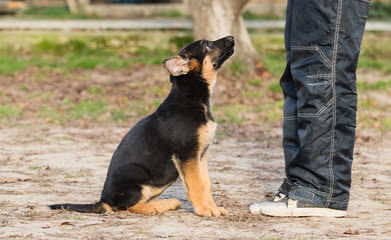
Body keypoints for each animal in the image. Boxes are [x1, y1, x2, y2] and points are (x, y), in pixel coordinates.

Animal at [51, 35, 237, 218]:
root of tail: (103, 200)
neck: (191, 97)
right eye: (207, 45)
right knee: (125, 207)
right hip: (137, 177)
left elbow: (206, 183)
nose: (232, 37)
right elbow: (197, 185)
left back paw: (167, 203)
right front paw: (204, 210)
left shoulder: (200, 155)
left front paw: (213, 207)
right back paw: (158, 207)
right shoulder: (187, 155)